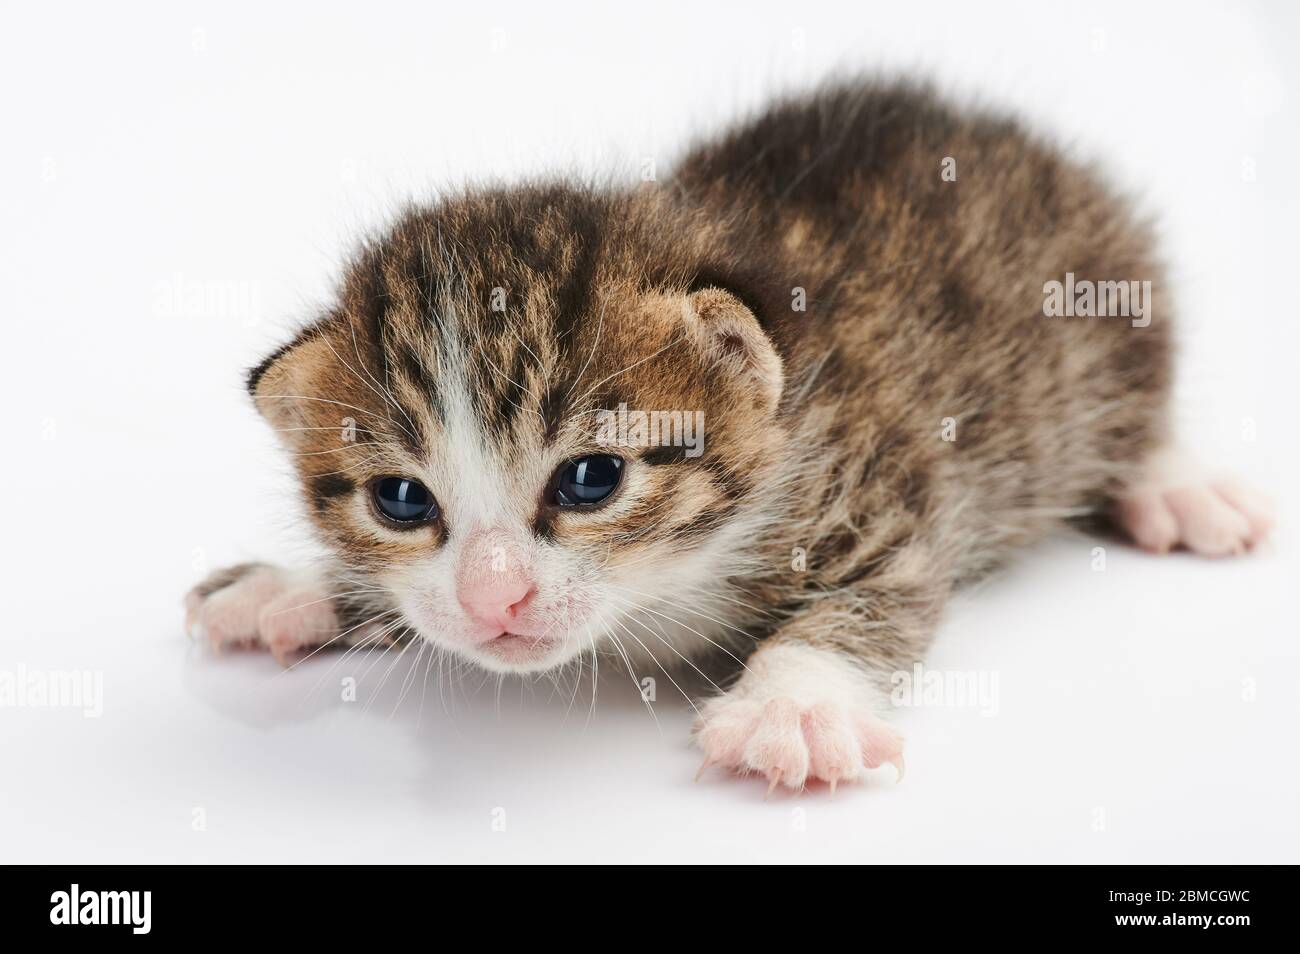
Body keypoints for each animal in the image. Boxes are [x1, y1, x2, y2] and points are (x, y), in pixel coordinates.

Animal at [183, 78, 1268, 795]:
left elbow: (881, 594)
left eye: (590, 480)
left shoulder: (877, 479)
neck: (658, 592)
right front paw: (292, 587)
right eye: (402, 499)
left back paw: (1176, 484)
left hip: (1104, 320)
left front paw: (793, 705)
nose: (495, 598)